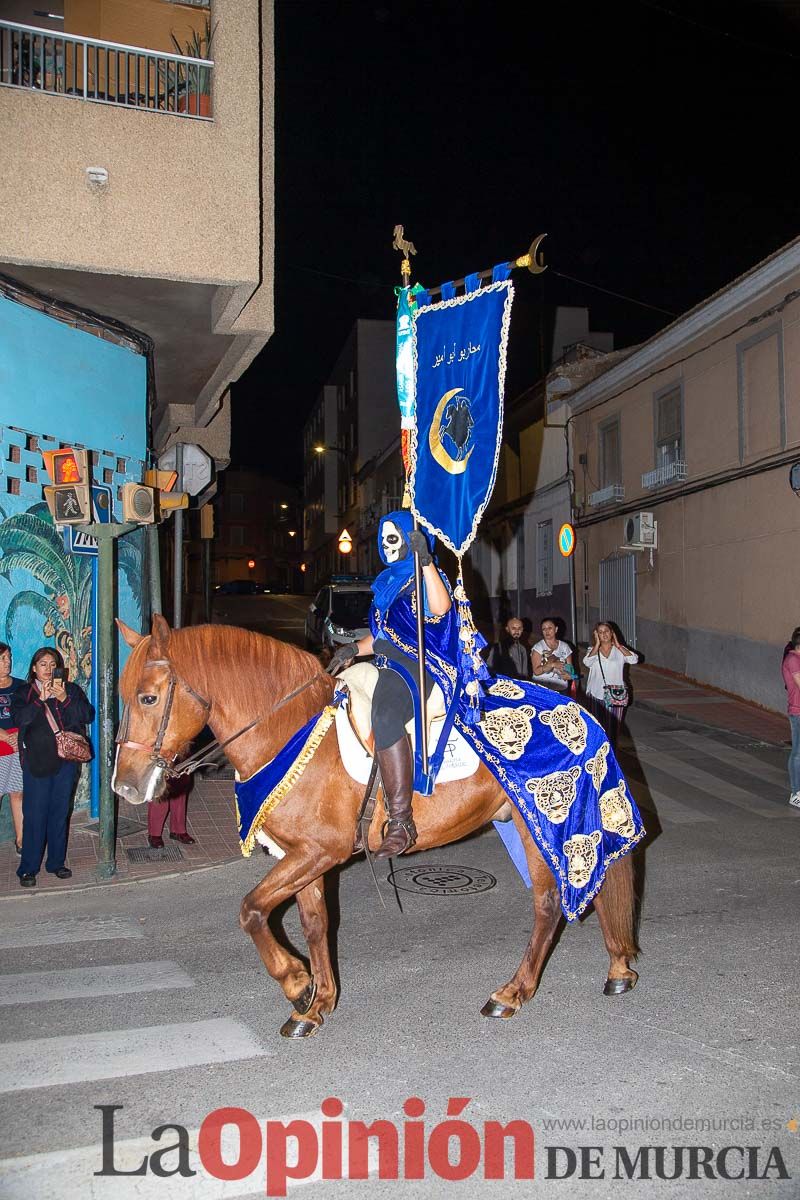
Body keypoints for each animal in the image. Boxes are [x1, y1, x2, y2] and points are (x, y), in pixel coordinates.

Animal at [113, 614, 638, 1036]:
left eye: (148, 698)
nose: (125, 787)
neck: (287, 729)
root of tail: (584, 710)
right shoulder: (303, 856)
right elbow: (315, 923)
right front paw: (316, 1003)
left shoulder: (318, 852)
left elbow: (252, 910)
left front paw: (297, 983)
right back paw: (618, 968)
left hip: (543, 827)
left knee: (550, 904)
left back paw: (511, 993)